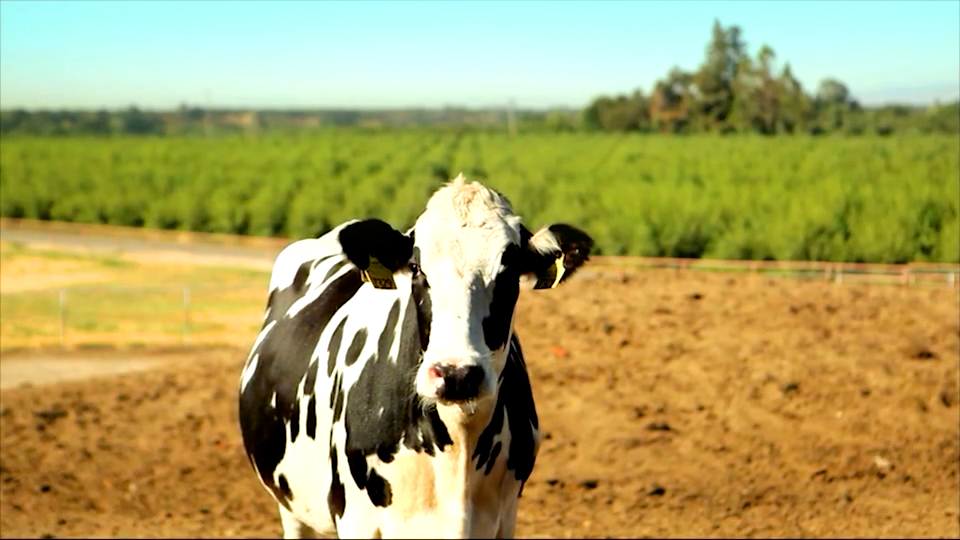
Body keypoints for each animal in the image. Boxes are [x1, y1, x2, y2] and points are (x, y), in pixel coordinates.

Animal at [236, 175, 588, 536]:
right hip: (293, 508)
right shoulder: (357, 520)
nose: (456, 375)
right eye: (417, 268)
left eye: (509, 273)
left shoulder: (504, 517)